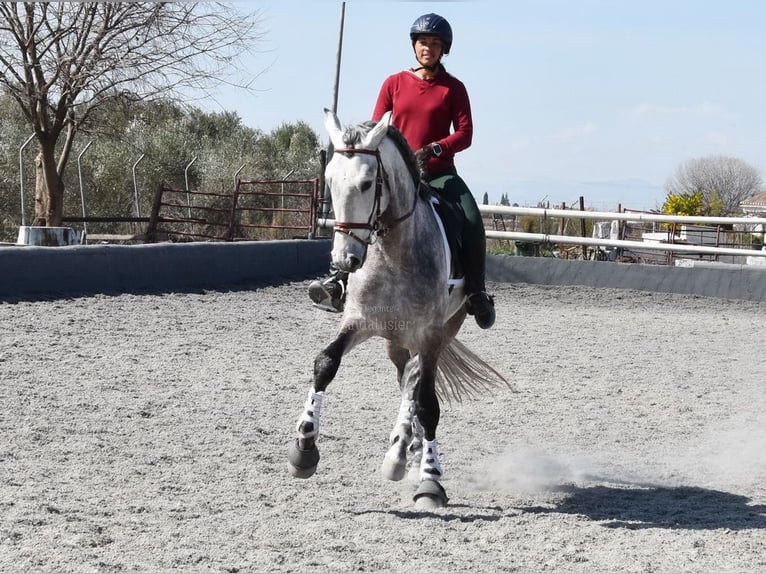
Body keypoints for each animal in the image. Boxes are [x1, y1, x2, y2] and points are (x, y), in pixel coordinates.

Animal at [286, 110, 504, 510]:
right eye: (330, 181)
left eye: (367, 182)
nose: (345, 260)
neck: (393, 252)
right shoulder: (359, 321)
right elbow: (325, 363)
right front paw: (305, 446)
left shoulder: (431, 335)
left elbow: (429, 403)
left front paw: (431, 480)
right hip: (395, 339)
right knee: (407, 378)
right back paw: (405, 447)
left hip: (441, 330)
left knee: (416, 383)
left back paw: (404, 452)